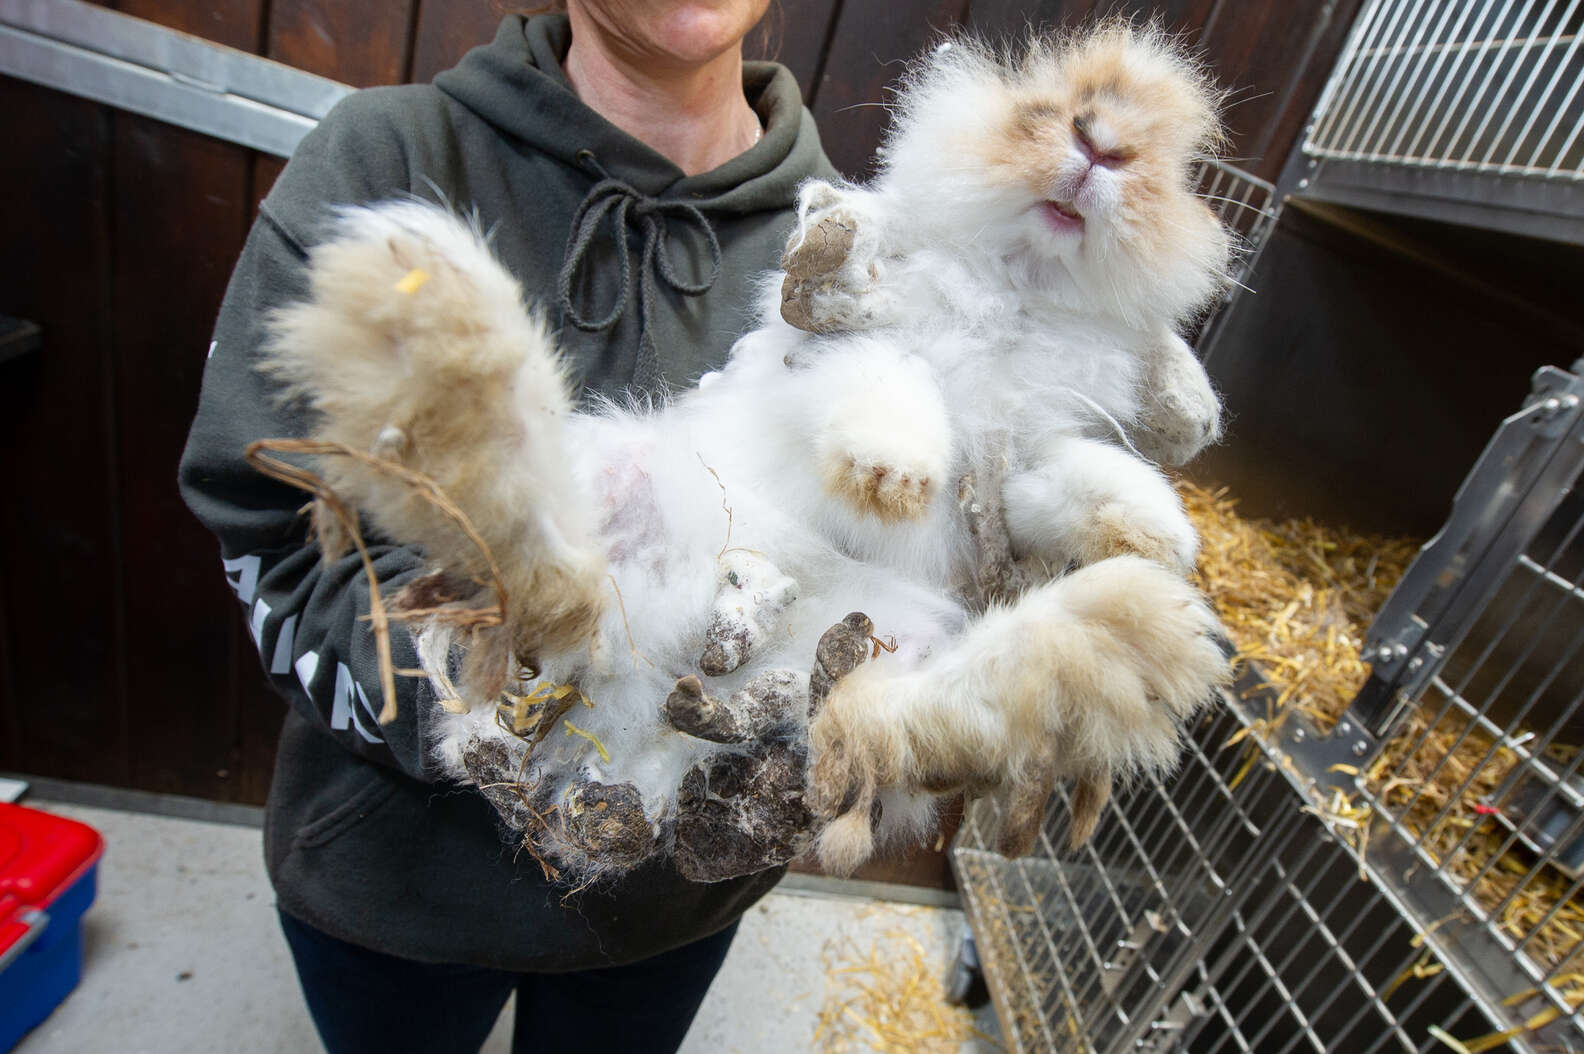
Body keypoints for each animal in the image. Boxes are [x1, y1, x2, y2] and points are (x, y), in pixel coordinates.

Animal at [259, 20, 1229, 881]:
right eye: (1043, 109)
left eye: (1173, 161)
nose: (1103, 148)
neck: (1014, 290)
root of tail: (633, 693)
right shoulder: (843, 355)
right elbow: (891, 386)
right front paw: (895, 473)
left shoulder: (1021, 457)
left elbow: (1084, 482)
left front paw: (1163, 539)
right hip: (612, 501)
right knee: (532, 557)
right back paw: (434, 309)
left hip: (878, 647)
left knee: (891, 719)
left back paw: (1136, 631)